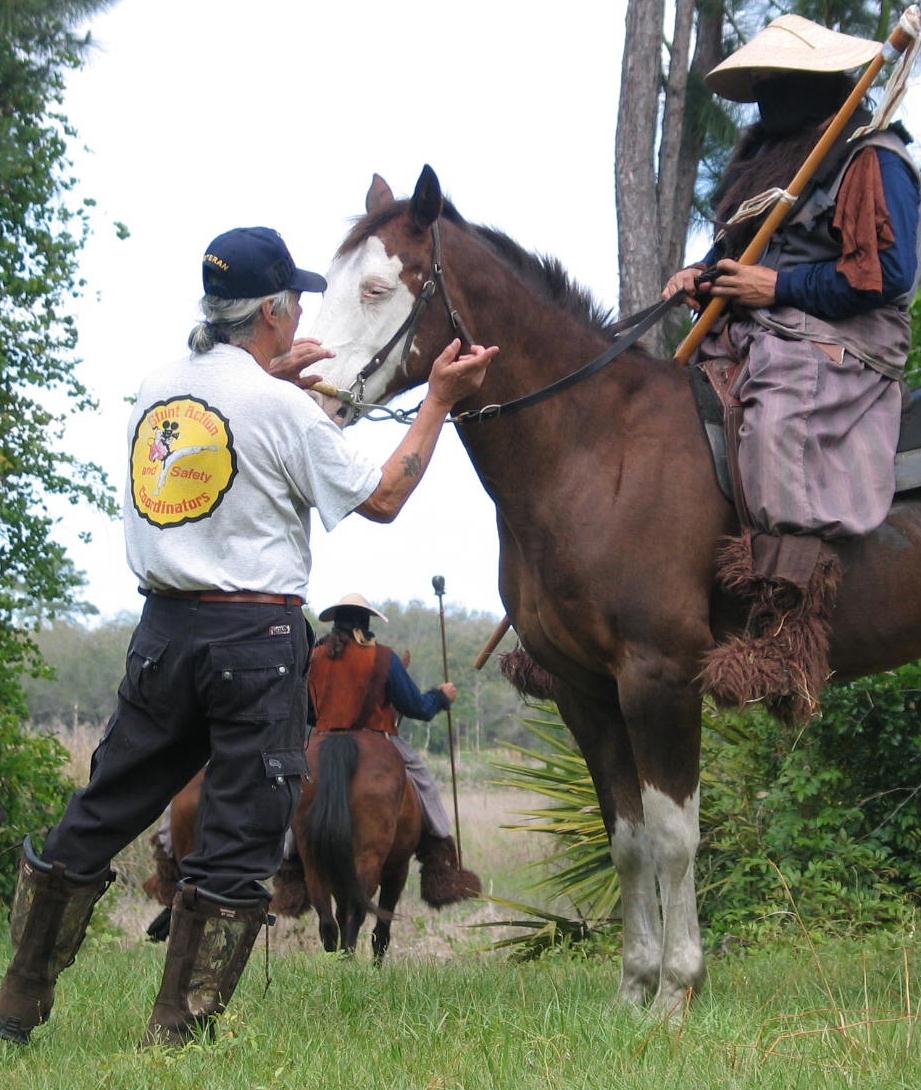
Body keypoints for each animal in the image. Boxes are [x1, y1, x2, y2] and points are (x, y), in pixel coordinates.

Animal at [305, 163, 919, 1011]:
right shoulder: (583, 689)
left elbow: (674, 834)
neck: (592, 446)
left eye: (373, 288)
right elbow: (625, 839)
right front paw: (633, 988)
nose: (312, 391)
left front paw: (676, 992)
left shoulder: (659, 676)